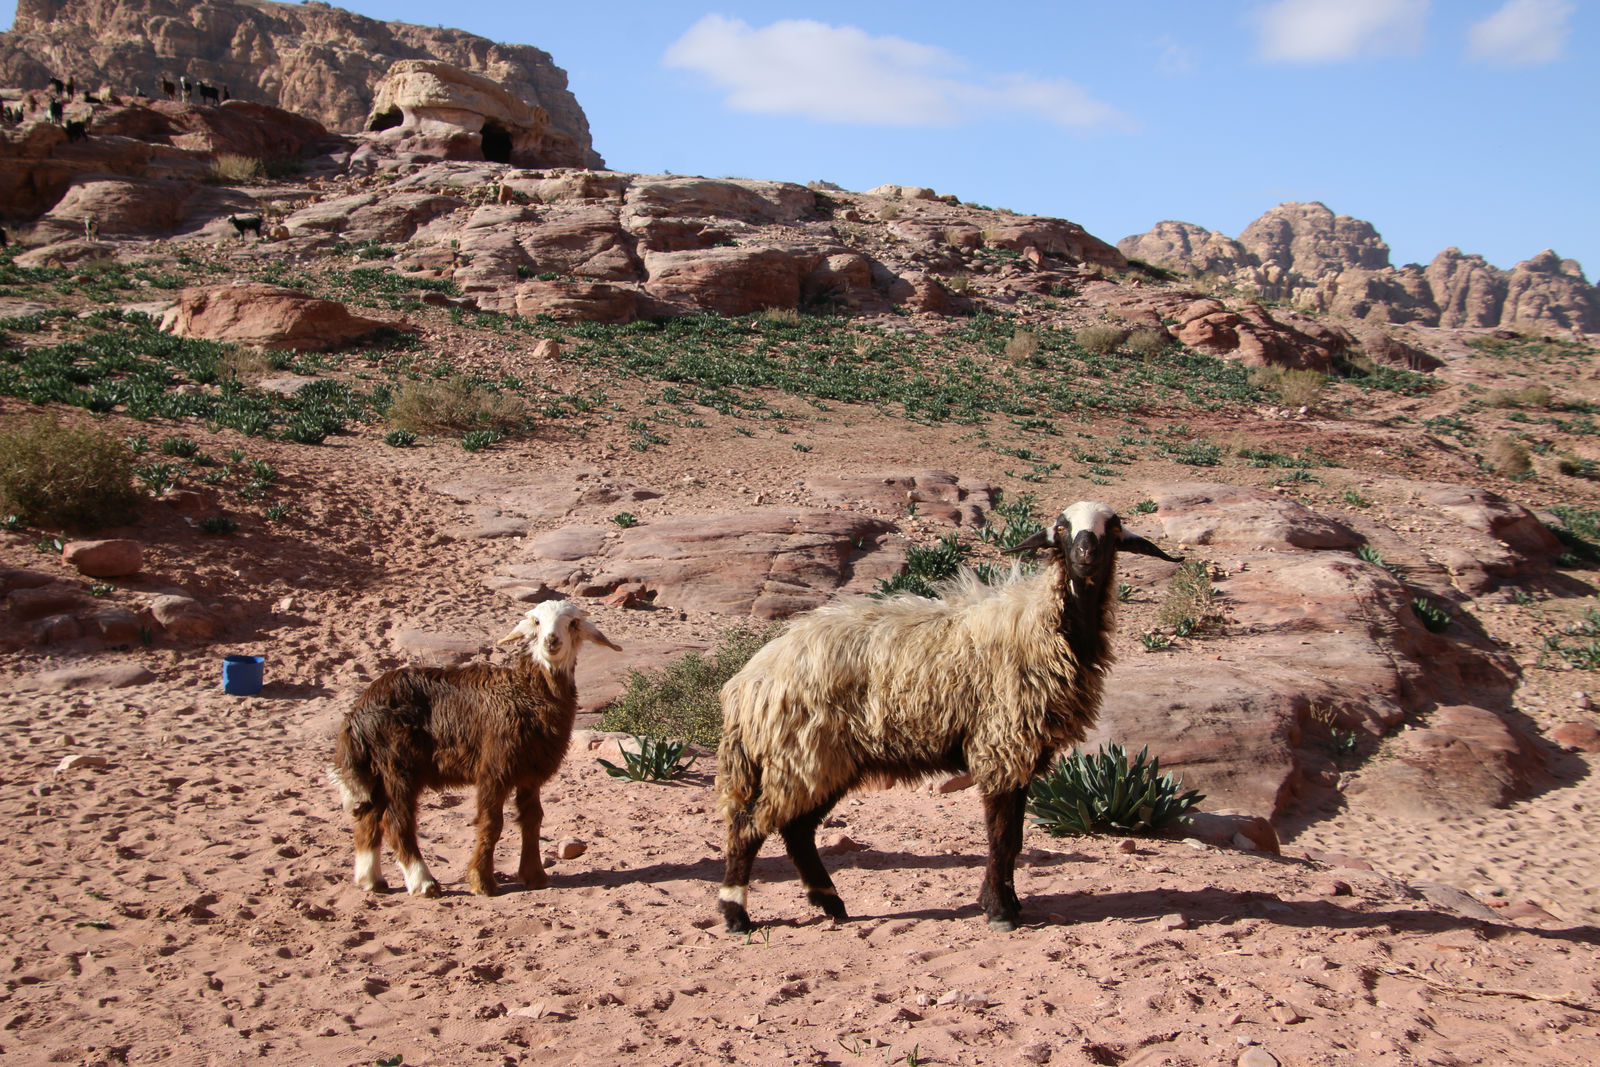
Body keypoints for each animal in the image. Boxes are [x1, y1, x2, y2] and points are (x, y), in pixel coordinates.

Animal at [329, 600, 620, 897]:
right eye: (537, 622)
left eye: (572, 623)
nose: (551, 641)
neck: (528, 694)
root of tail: (357, 712)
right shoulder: (494, 767)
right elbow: (491, 822)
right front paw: (482, 882)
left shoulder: (530, 772)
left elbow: (532, 819)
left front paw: (535, 876)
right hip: (398, 765)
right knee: (396, 822)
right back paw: (423, 882)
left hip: (376, 770)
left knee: (368, 816)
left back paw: (371, 880)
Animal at [715, 501, 1181, 933]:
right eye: (1062, 527)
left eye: (1113, 528)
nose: (1085, 553)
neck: (1042, 627)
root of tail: (748, 682)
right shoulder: (1001, 744)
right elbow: (1003, 837)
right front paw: (999, 911)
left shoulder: (1024, 752)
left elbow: (1013, 838)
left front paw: (1006, 904)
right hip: (801, 754)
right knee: (751, 826)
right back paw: (736, 913)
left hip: (823, 761)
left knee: (796, 830)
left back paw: (830, 902)